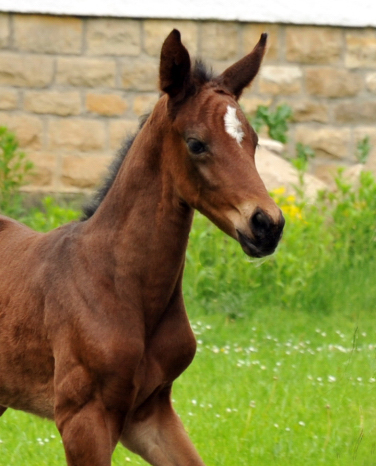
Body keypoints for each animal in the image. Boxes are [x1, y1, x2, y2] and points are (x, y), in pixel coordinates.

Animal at [0, 30, 282, 466]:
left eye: (251, 141)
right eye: (196, 143)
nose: (267, 225)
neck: (120, 283)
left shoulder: (151, 414)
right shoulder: (83, 418)